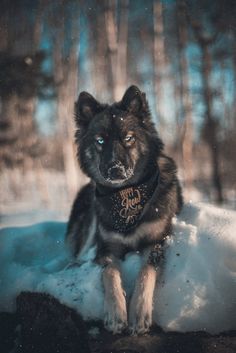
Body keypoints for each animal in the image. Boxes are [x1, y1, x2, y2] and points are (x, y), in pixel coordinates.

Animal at [65, 85, 183, 332]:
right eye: (100, 140)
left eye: (129, 138)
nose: (115, 170)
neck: (127, 197)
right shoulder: (106, 248)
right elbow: (110, 273)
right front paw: (116, 313)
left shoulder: (156, 242)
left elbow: (146, 271)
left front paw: (139, 312)